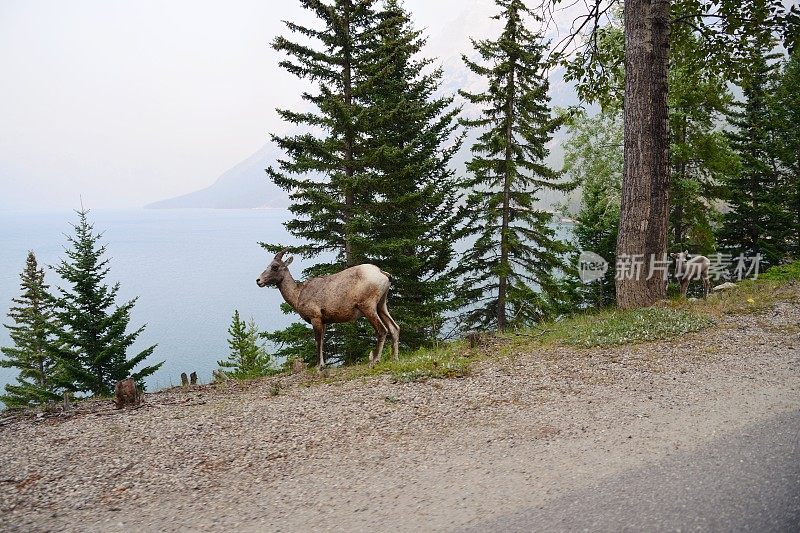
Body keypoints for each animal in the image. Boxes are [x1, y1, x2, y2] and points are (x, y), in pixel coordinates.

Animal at [256, 248, 400, 366]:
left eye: (275, 267)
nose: (258, 281)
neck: (298, 294)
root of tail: (383, 274)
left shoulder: (315, 318)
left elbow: (318, 341)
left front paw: (319, 366)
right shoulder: (324, 321)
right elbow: (322, 342)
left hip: (368, 307)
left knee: (382, 330)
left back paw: (375, 360)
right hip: (381, 305)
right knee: (394, 328)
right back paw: (394, 359)